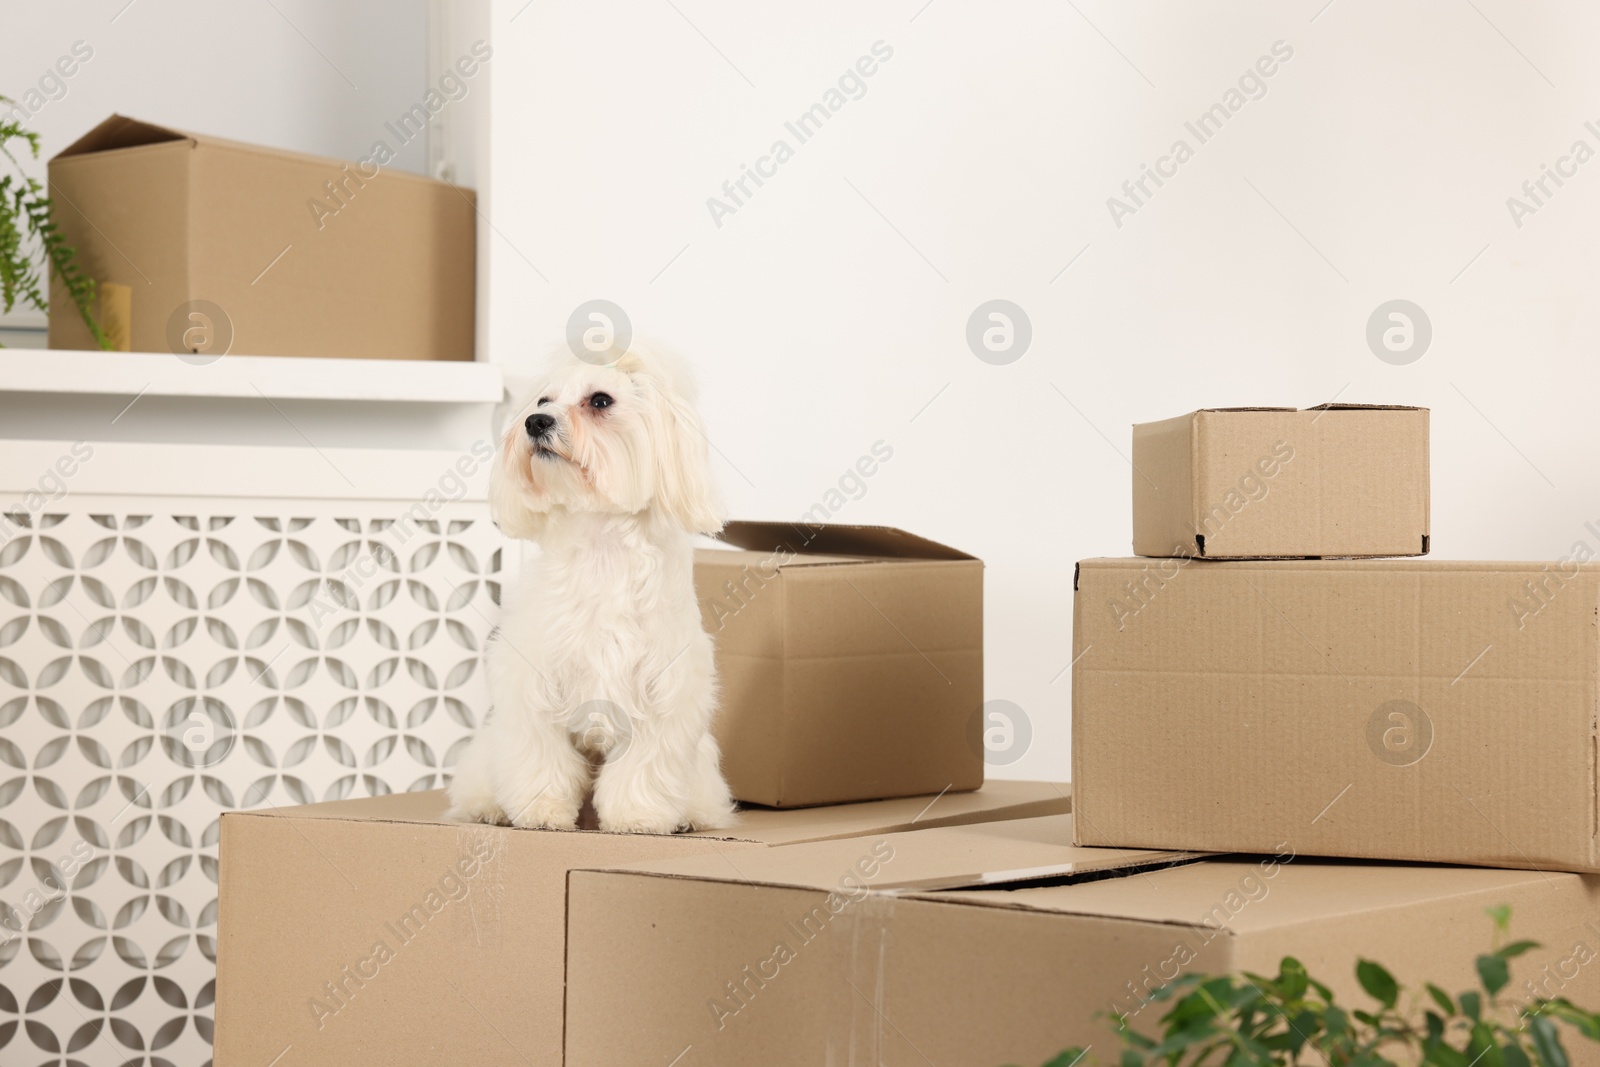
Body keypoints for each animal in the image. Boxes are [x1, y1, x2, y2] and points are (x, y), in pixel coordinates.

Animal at [444, 343, 732, 831]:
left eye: (600, 400)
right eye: (543, 400)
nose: (535, 422)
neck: (602, 550)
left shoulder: (664, 695)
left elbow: (642, 765)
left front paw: (638, 816)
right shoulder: (531, 685)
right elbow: (541, 755)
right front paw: (541, 811)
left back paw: (690, 818)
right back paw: (489, 808)